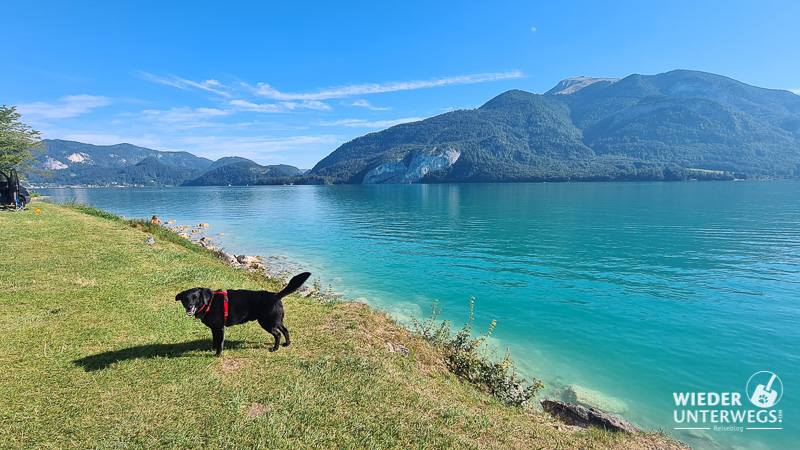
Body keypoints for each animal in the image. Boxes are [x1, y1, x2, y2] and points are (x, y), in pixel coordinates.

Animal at [174, 272, 310, 356]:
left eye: (196, 298)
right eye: (185, 299)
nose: (189, 307)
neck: (209, 302)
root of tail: (276, 295)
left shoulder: (220, 328)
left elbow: (220, 343)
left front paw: (217, 354)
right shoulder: (214, 328)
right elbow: (215, 340)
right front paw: (211, 348)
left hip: (267, 323)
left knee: (278, 334)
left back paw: (275, 348)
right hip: (276, 320)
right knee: (285, 330)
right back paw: (287, 344)